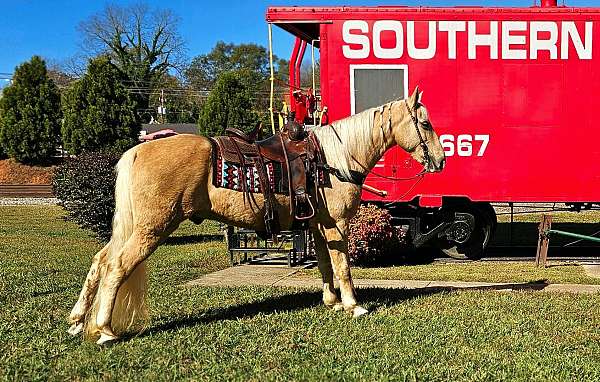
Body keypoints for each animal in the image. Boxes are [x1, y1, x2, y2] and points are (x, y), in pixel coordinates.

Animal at [67, 86, 446, 344]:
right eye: (425, 123)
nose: (441, 160)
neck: (333, 159)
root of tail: (137, 150)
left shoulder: (316, 225)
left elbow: (325, 264)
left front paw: (332, 302)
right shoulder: (336, 225)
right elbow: (343, 266)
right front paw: (354, 306)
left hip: (135, 227)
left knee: (101, 260)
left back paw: (77, 320)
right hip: (152, 227)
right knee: (117, 266)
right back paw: (105, 330)